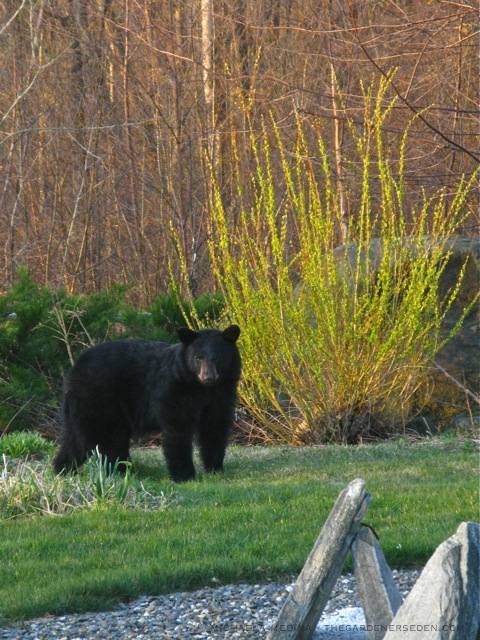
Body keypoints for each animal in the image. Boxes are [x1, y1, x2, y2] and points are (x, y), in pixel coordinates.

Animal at [52, 325, 241, 482]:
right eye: (198, 357)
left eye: (217, 357)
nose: (208, 377)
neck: (203, 389)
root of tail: (75, 367)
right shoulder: (174, 390)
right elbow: (178, 430)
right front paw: (184, 475)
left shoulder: (222, 395)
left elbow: (215, 428)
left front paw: (215, 468)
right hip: (100, 400)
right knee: (109, 439)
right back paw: (119, 471)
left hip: (80, 405)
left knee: (76, 440)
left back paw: (63, 469)